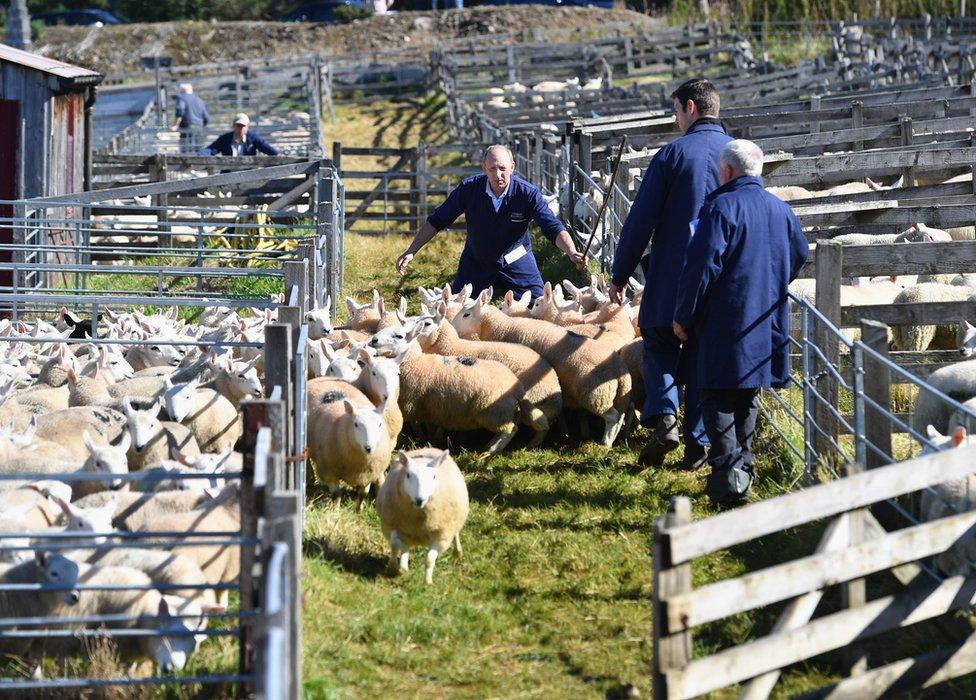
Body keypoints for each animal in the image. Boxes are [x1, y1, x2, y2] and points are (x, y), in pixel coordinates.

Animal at [376, 448, 470, 584]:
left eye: (434, 476)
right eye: (408, 475)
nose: (419, 499)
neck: (418, 518)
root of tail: (430, 448)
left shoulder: (441, 535)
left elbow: (430, 560)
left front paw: (428, 582)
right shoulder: (392, 525)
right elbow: (394, 545)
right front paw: (392, 569)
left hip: (454, 521)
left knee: (456, 533)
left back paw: (457, 552)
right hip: (406, 531)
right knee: (404, 546)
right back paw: (403, 566)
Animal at [452, 288, 628, 446]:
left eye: (466, 314)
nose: (452, 327)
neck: (502, 326)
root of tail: (620, 369)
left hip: (596, 395)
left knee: (612, 417)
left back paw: (605, 443)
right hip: (617, 396)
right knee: (620, 416)